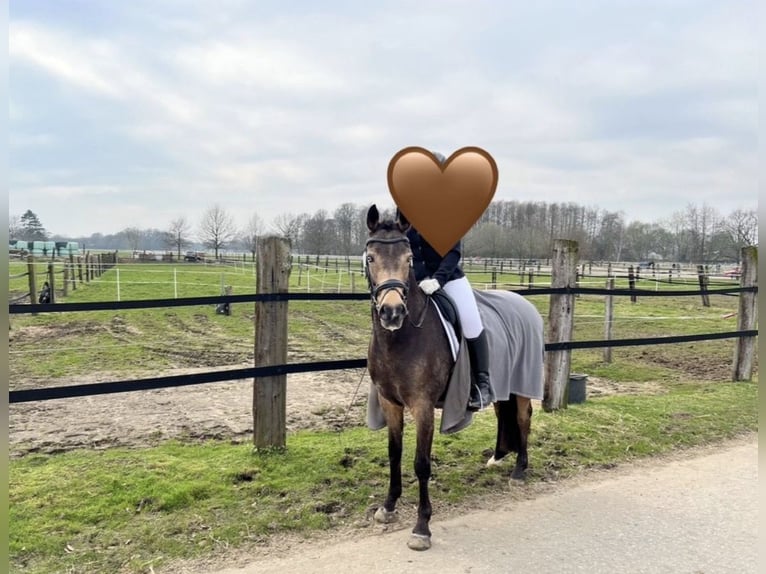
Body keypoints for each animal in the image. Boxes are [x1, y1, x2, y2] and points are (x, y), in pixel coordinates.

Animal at [364, 204, 543, 551]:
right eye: (370, 257)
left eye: (408, 259)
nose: (392, 313)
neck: (403, 337)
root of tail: (525, 304)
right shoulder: (389, 402)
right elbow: (394, 454)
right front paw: (388, 507)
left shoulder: (422, 406)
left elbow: (421, 463)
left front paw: (422, 528)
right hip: (502, 384)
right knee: (503, 413)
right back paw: (498, 457)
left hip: (522, 382)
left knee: (523, 417)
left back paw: (519, 471)